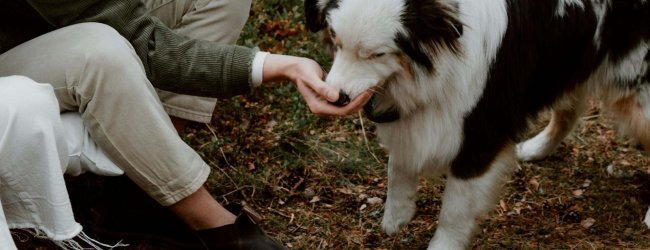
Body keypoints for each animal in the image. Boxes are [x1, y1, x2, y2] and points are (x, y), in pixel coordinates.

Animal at [306, 0, 648, 248]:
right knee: (569, 111)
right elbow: (398, 168)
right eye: (335, 40)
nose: (336, 97)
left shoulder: (481, 134)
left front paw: (441, 246)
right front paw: (396, 218)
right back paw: (534, 148)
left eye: (377, 54)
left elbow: (454, 212)